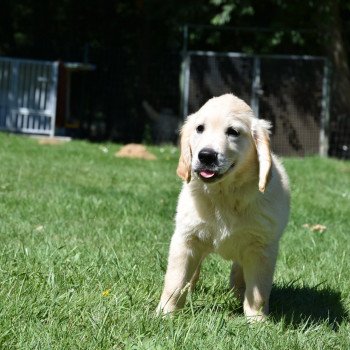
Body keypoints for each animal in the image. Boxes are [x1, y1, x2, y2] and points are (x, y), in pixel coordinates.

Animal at [158, 93, 290, 322]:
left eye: (233, 132)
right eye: (199, 128)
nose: (206, 155)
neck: (224, 195)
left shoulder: (261, 247)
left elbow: (258, 291)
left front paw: (257, 321)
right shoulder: (186, 239)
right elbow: (175, 281)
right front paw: (164, 314)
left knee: (239, 271)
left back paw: (238, 290)